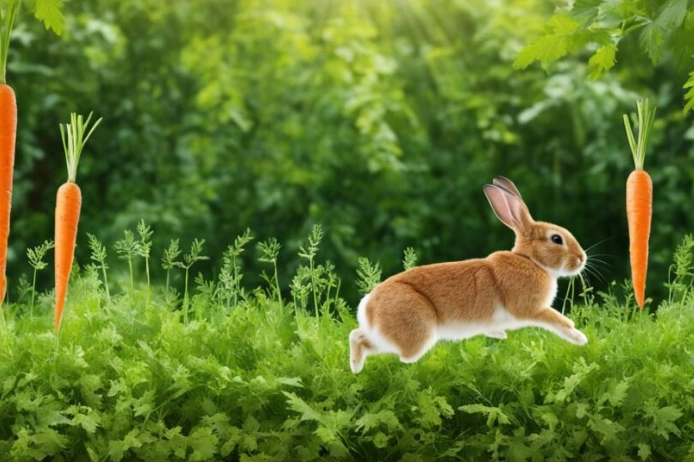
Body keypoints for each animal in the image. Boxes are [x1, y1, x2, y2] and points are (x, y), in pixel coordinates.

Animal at [349, 176, 588, 374]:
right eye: (556, 239)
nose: (582, 259)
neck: (530, 260)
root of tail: (368, 306)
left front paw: (499, 335)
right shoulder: (532, 308)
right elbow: (558, 321)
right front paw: (580, 338)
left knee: (356, 336)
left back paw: (355, 367)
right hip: (417, 330)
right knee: (400, 356)